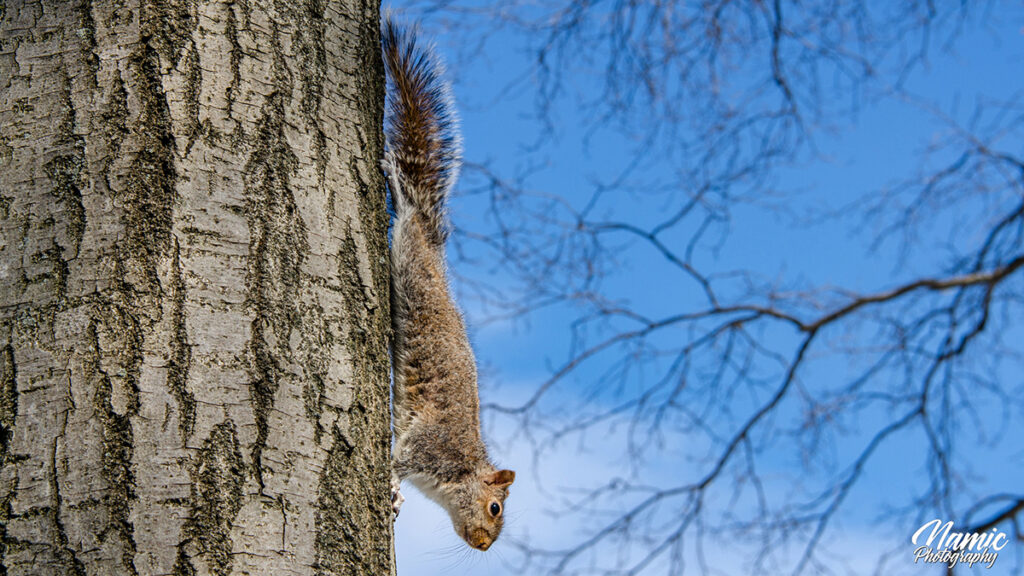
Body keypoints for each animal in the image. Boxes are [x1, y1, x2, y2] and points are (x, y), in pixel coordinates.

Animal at [380, 15, 516, 549]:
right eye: (495, 508)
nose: (482, 545)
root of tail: (435, 244)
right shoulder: (429, 447)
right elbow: (398, 459)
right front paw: (392, 491)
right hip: (410, 261)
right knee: (408, 210)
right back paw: (397, 182)